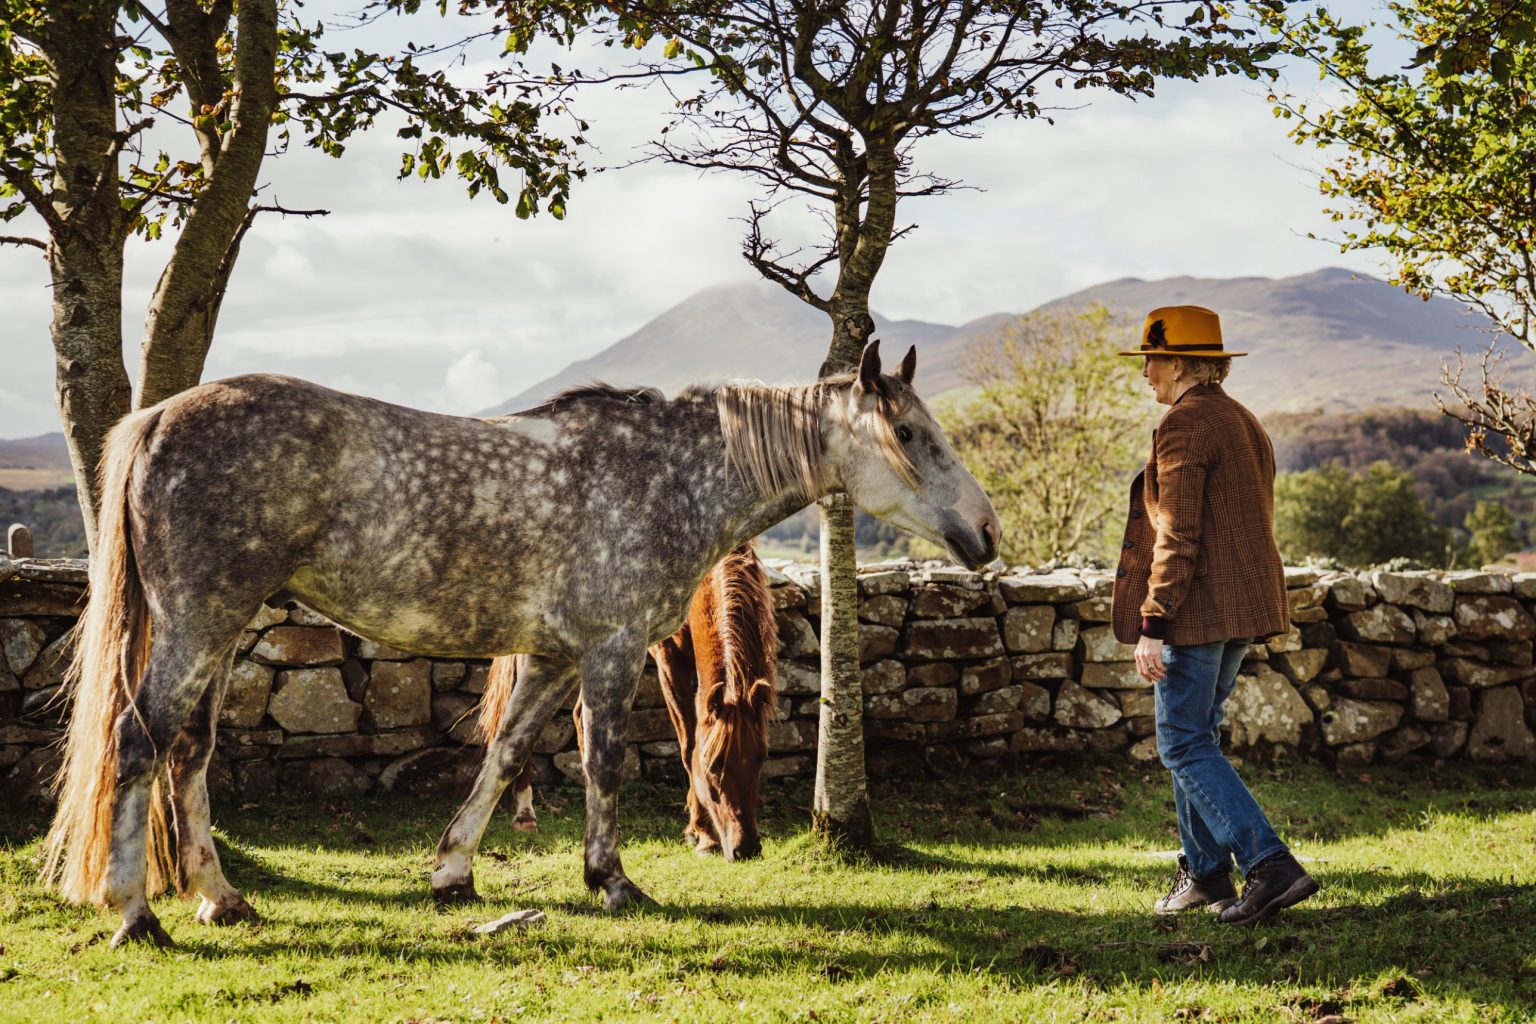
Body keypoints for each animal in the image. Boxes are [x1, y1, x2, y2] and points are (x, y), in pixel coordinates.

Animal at [492, 542, 777, 861]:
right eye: (713, 765)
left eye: (761, 757)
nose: (747, 848)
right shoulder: (668, 658)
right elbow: (688, 745)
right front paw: (703, 834)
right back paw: (525, 815)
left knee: (579, 717)